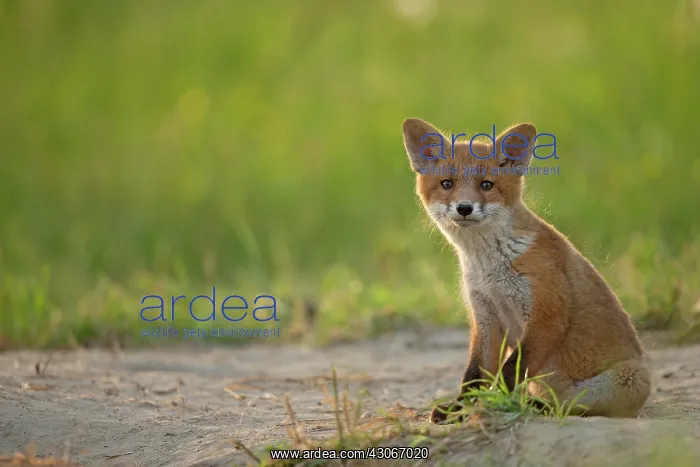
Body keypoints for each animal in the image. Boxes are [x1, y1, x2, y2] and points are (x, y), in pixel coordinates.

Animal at [401, 118, 651, 423]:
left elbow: (510, 371)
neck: (488, 268)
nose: (464, 208)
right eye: (447, 184)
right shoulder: (486, 318)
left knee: (570, 407)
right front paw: (459, 410)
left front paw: (495, 406)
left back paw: (536, 407)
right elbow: (473, 376)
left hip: (629, 379)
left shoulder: (546, 316)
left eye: (487, 185)